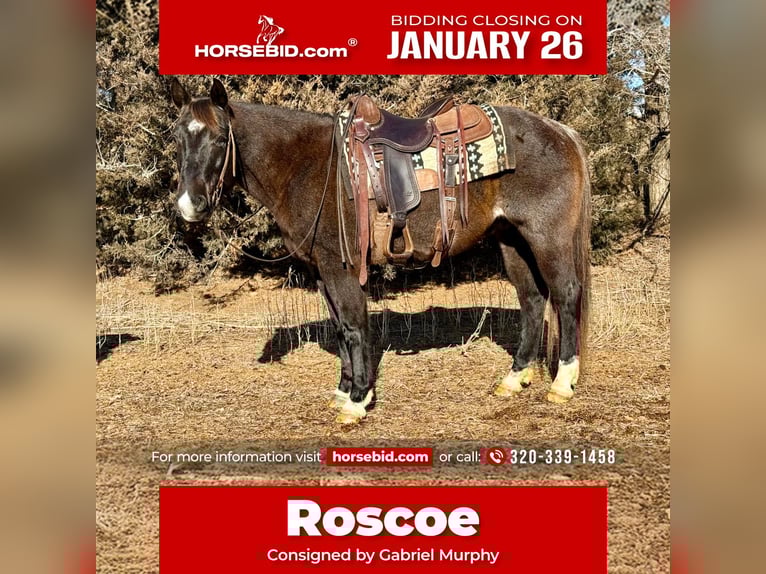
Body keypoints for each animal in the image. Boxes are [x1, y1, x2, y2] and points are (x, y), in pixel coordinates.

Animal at [169, 78, 591, 425]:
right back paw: (514, 378)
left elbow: (355, 327)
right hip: (511, 240)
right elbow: (340, 329)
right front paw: (343, 392)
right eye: (177, 140)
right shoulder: (320, 271)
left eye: (220, 139)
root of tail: (561, 131)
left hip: (546, 236)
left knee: (566, 295)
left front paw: (357, 401)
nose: (190, 205)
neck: (306, 165)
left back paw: (562, 383)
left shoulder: (341, 267)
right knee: (532, 300)